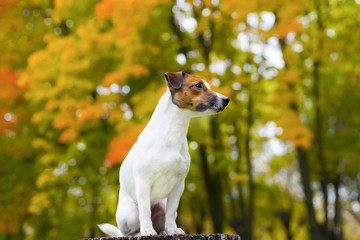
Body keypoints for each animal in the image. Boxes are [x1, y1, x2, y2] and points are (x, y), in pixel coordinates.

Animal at [97, 71, 229, 236]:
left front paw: (173, 230)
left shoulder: (178, 185)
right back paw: (140, 232)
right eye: (198, 85)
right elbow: (145, 210)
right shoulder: (143, 181)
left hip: (161, 206)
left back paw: (163, 231)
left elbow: (171, 212)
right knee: (130, 230)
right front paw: (147, 231)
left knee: (163, 220)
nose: (226, 100)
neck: (171, 134)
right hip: (130, 214)